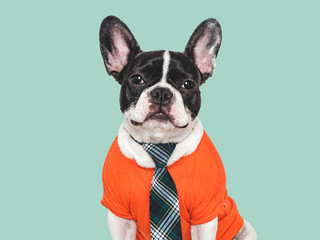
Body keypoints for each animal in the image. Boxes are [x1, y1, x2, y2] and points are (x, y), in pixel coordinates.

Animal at [99, 15, 258, 239]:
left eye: (188, 84)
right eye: (137, 79)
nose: (162, 93)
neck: (159, 148)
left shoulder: (205, 215)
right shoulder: (119, 215)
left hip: (245, 230)